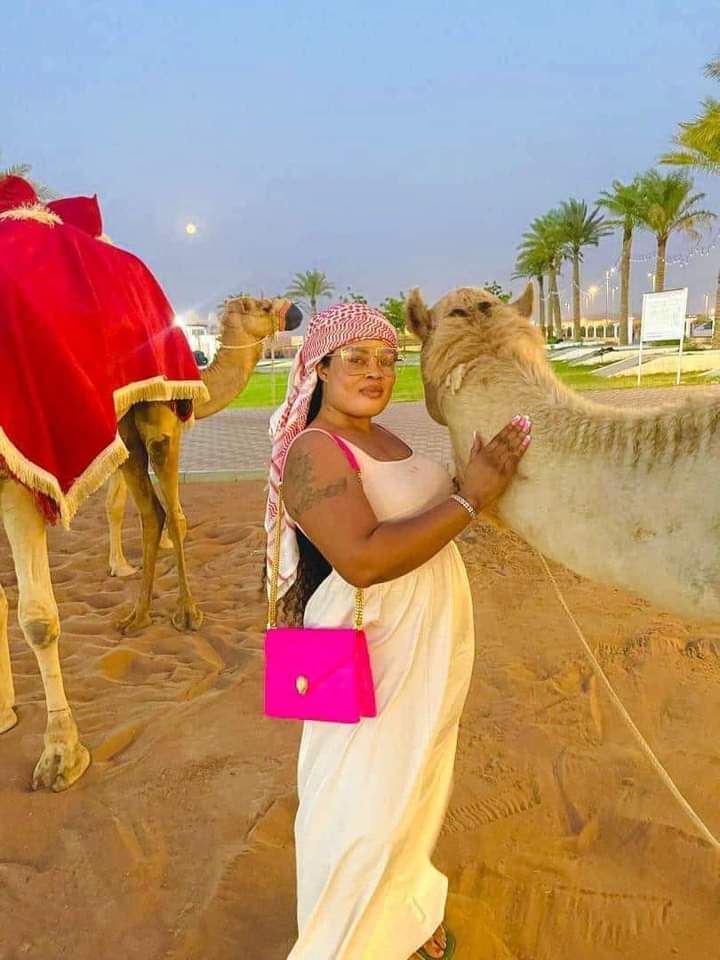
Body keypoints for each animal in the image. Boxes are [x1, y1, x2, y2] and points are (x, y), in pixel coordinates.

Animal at [0, 296, 301, 791]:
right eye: (259, 305)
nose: (293, 312)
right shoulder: (158, 422)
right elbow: (173, 517)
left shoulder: (124, 430)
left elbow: (145, 512)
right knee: (158, 513)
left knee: (150, 513)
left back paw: (137, 616)